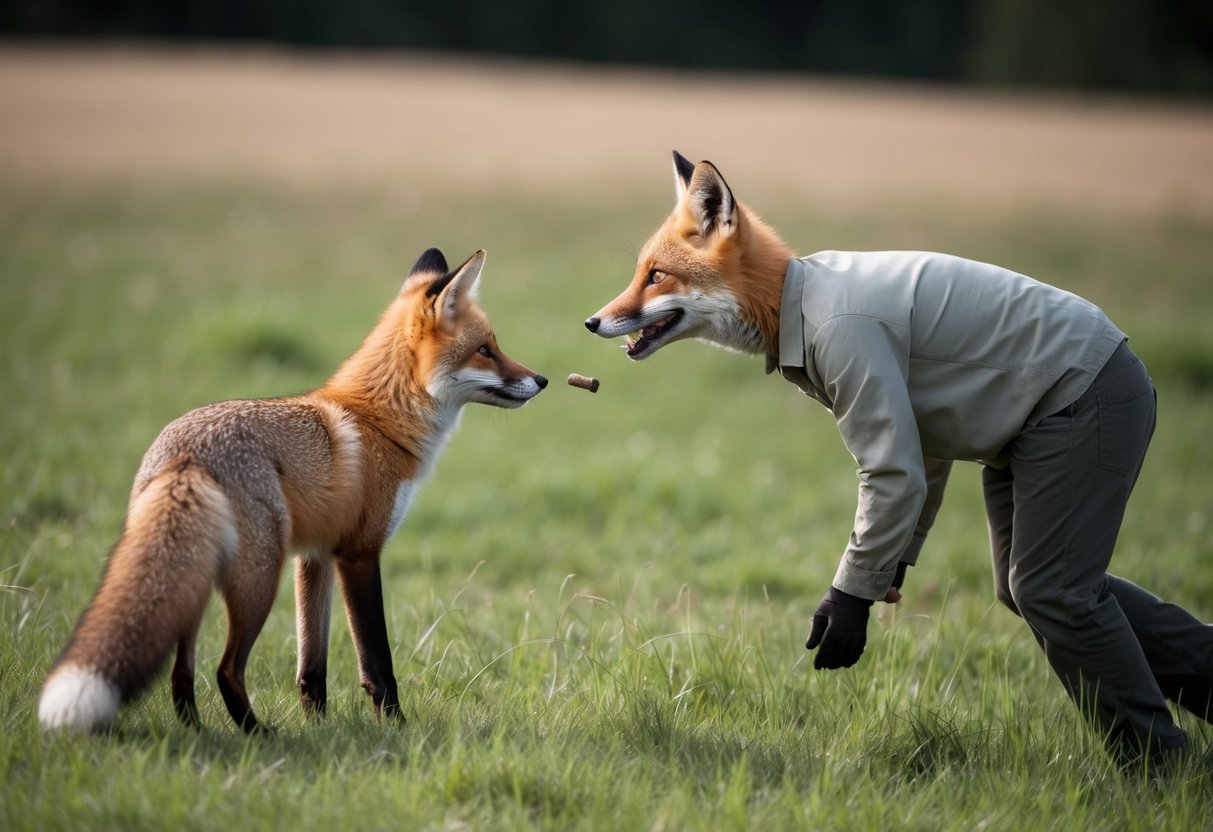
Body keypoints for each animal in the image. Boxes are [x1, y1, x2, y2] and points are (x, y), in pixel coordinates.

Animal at [39, 247, 547, 734]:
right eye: (485, 350)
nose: (542, 380)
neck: (380, 421)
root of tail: (187, 454)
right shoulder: (359, 553)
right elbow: (377, 663)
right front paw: (397, 730)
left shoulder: (316, 556)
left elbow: (311, 667)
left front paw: (320, 727)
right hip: (260, 576)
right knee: (225, 669)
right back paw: (259, 734)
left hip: (197, 578)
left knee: (181, 671)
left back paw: (199, 732)